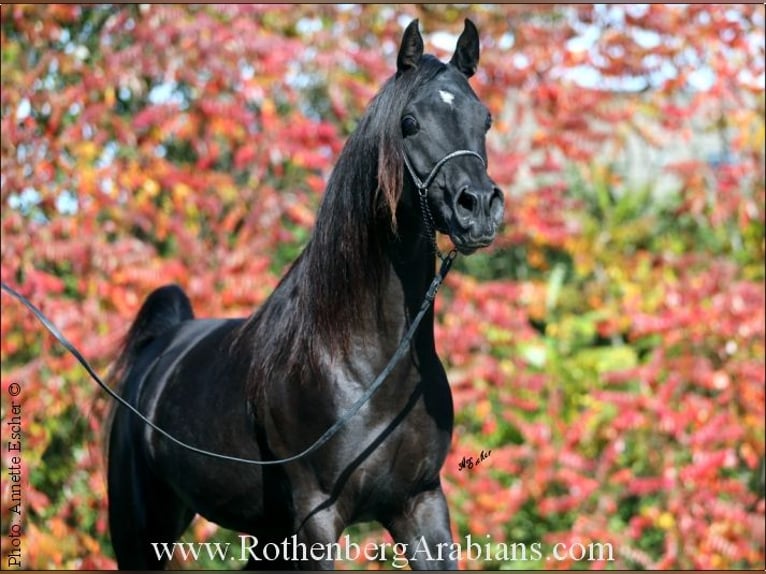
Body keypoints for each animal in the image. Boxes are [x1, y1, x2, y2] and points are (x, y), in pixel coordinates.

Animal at [106, 19, 504, 572]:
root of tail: (162, 346)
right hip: (140, 532)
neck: (362, 363)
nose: (479, 207)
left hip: (266, 537)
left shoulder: (421, 504)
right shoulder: (316, 518)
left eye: (484, 119)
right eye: (409, 122)